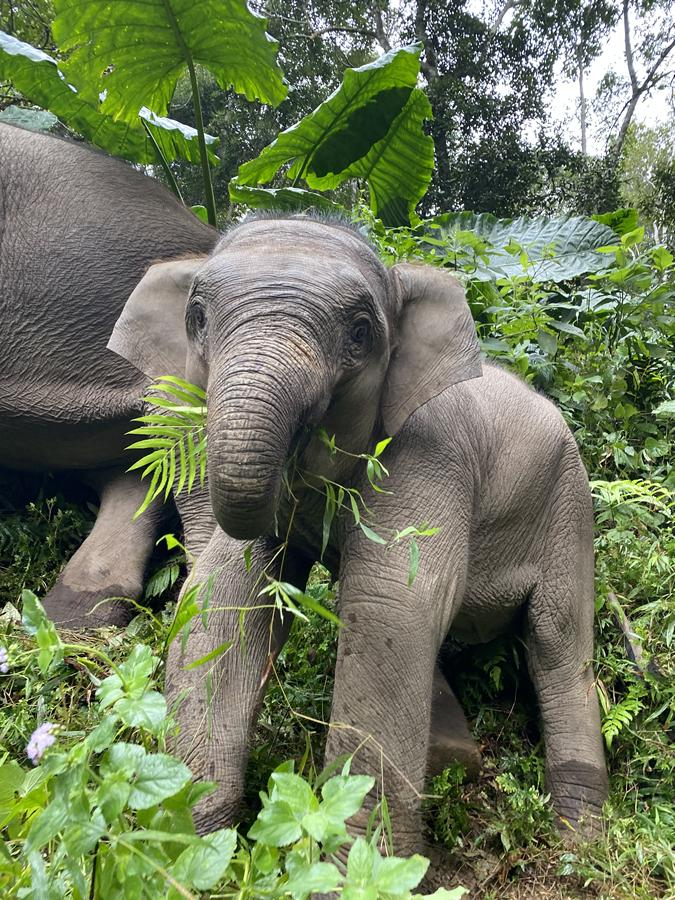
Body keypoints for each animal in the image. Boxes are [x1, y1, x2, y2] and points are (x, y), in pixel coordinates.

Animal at [108, 214, 609, 851]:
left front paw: (356, 861)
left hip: (569, 503)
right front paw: (194, 843)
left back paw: (580, 836)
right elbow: (227, 599)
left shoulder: (430, 454)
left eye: (360, 332)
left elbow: (390, 606)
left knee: (559, 641)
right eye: (196, 317)